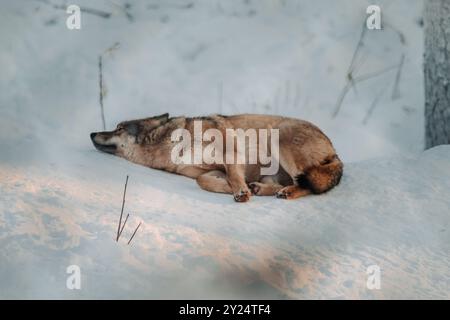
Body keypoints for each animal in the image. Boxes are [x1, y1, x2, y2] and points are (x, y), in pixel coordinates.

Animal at [91, 114, 344, 201]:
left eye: (118, 128)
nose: (92, 133)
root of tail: (335, 152)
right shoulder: (210, 170)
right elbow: (203, 181)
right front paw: (235, 189)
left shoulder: (230, 151)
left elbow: (233, 175)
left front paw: (240, 192)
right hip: (271, 169)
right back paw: (260, 188)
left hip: (279, 137)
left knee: (307, 185)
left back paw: (286, 193)